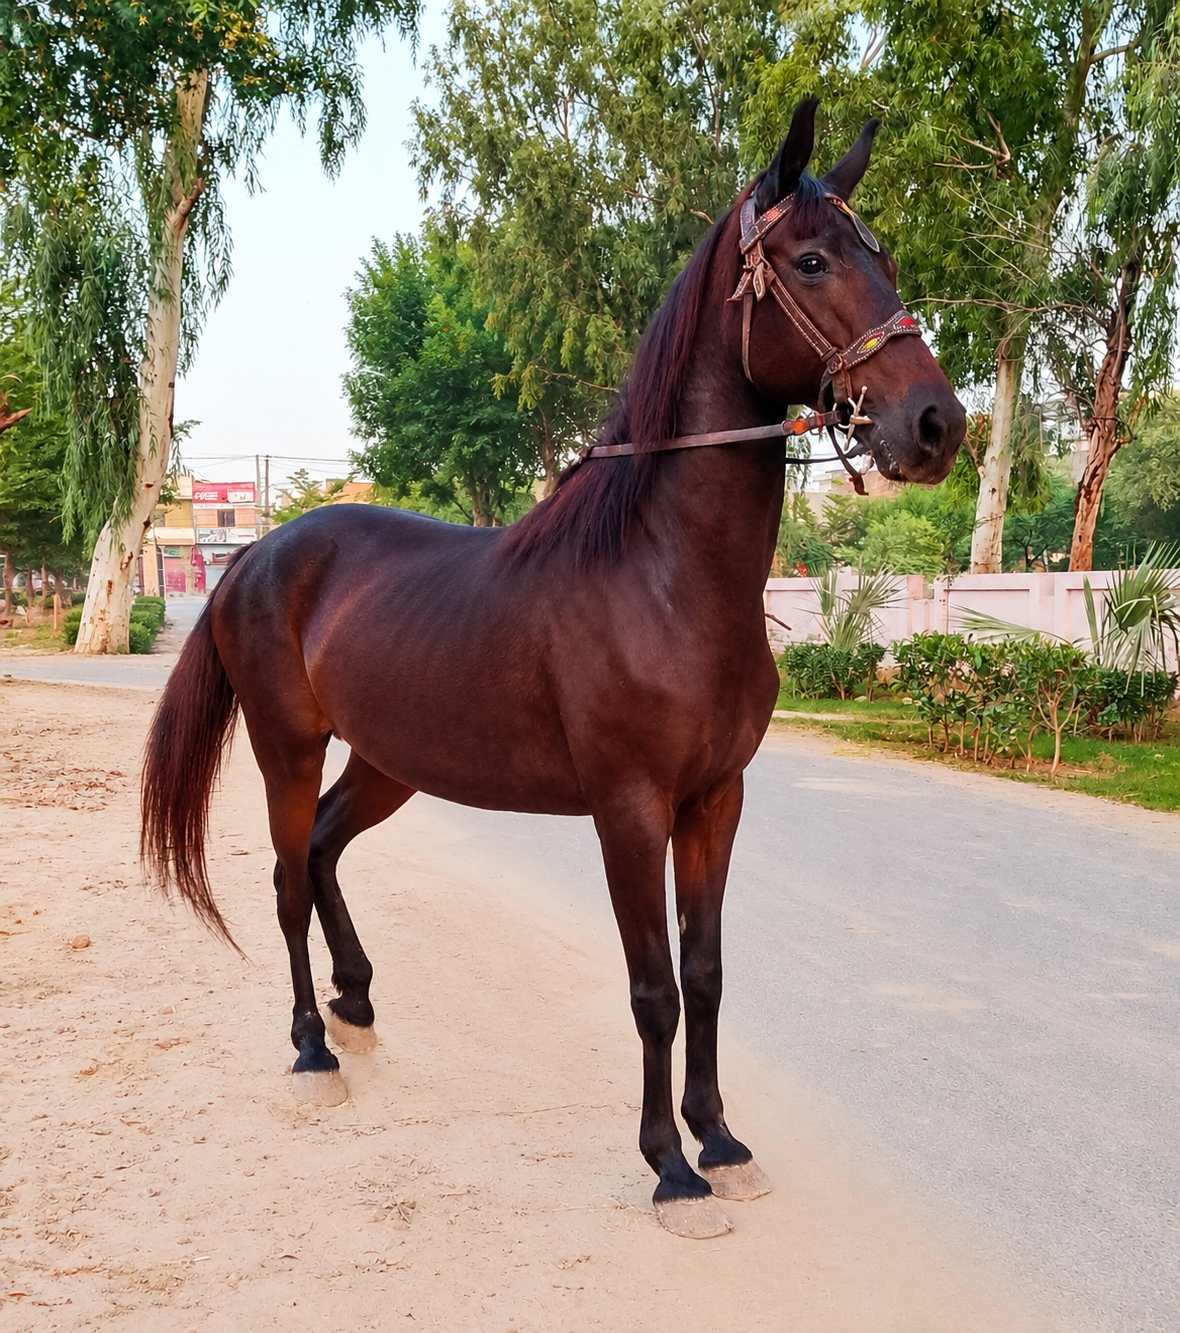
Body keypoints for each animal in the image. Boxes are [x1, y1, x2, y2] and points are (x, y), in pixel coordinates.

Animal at [141, 98, 965, 1239]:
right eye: (810, 260)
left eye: (880, 258)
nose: (936, 425)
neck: (662, 576)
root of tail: (258, 554)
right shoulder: (629, 808)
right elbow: (654, 986)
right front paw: (669, 1165)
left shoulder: (716, 799)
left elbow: (707, 973)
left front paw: (722, 1139)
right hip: (287, 747)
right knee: (284, 876)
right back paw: (310, 1044)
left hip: (389, 763)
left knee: (320, 849)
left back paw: (356, 999)